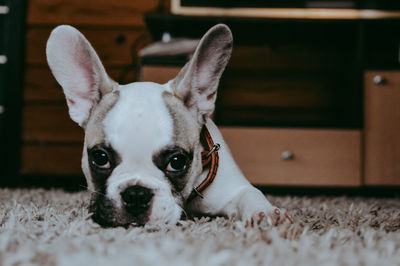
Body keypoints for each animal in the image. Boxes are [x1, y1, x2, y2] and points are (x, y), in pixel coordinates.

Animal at [46, 24, 290, 227]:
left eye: (177, 162)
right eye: (100, 157)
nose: (136, 194)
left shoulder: (235, 189)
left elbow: (250, 195)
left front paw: (265, 214)